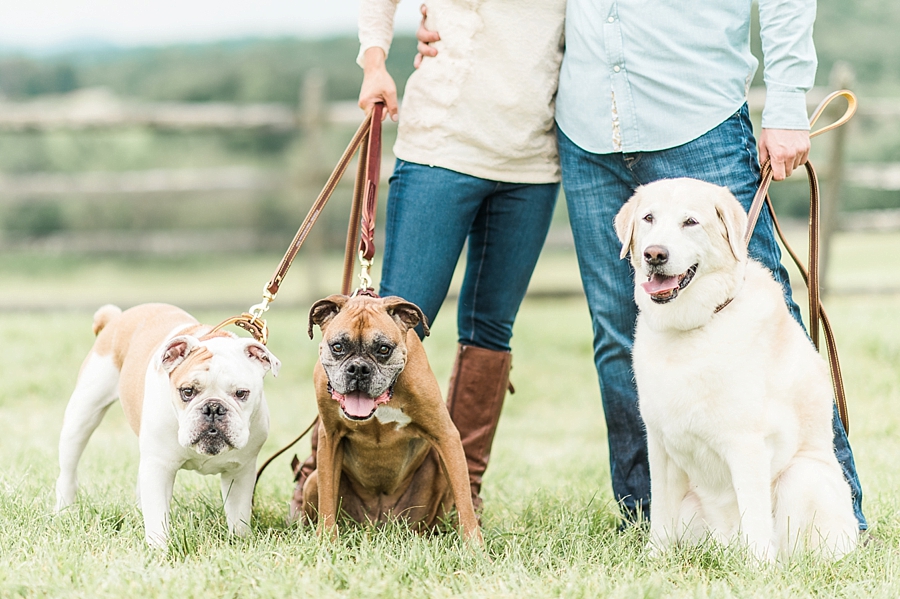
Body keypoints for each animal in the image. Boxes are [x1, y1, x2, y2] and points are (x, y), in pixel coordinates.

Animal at [300, 292, 486, 548]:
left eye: (383, 349)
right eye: (338, 346)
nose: (359, 368)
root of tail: (379, 522)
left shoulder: (445, 436)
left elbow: (464, 498)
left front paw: (473, 546)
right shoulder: (329, 439)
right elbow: (327, 497)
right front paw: (327, 541)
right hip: (311, 481)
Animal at [616, 179, 860, 564]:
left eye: (690, 222)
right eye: (648, 218)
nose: (655, 255)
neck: (694, 325)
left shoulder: (746, 444)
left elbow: (755, 514)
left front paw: (759, 568)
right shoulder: (660, 448)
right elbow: (660, 515)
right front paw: (654, 559)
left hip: (801, 476)